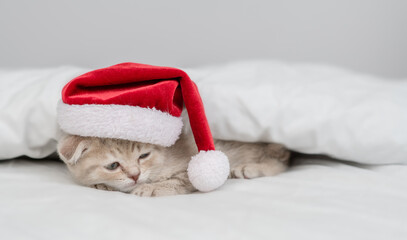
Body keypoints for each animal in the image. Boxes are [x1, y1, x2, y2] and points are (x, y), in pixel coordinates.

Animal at [57, 133, 290, 197]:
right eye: (113, 166)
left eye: (144, 155)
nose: (135, 175)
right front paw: (101, 185)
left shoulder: (194, 165)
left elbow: (176, 181)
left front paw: (150, 188)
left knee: (280, 161)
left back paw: (247, 168)